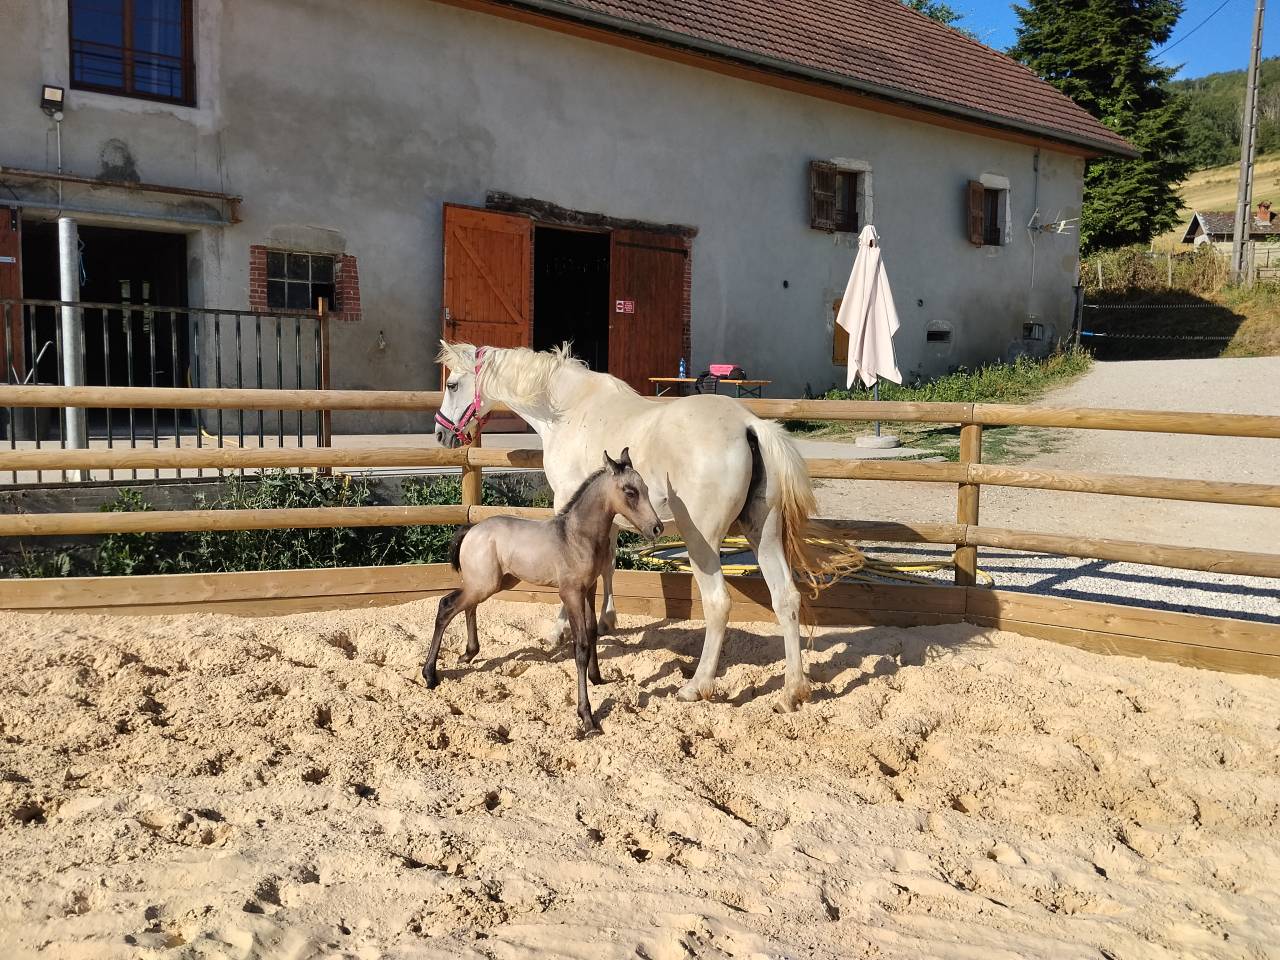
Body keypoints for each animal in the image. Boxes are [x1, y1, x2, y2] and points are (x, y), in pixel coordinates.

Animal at [423, 447, 662, 734]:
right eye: (629, 491)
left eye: (645, 488)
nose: (657, 528)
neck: (577, 536)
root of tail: (472, 529)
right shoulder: (570, 593)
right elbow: (580, 645)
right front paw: (587, 717)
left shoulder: (589, 588)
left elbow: (593, 631)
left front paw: (597, 678)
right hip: (484, 584)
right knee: (446, 606)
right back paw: (430, 675)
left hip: (492, 583)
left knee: (468, 606)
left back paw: (468, 654)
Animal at [435, 342, 857, 713]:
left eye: (452, 384)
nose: (440, 434)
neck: (569, 409)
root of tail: (749, 425)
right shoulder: (609, 518)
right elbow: (607, 566)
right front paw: (606, 621)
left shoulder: (566, 502)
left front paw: (558, 631)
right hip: (763, 535)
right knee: (786, 598)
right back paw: (792, 692)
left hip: (701, 542)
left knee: (718, 603)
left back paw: (696, 686)